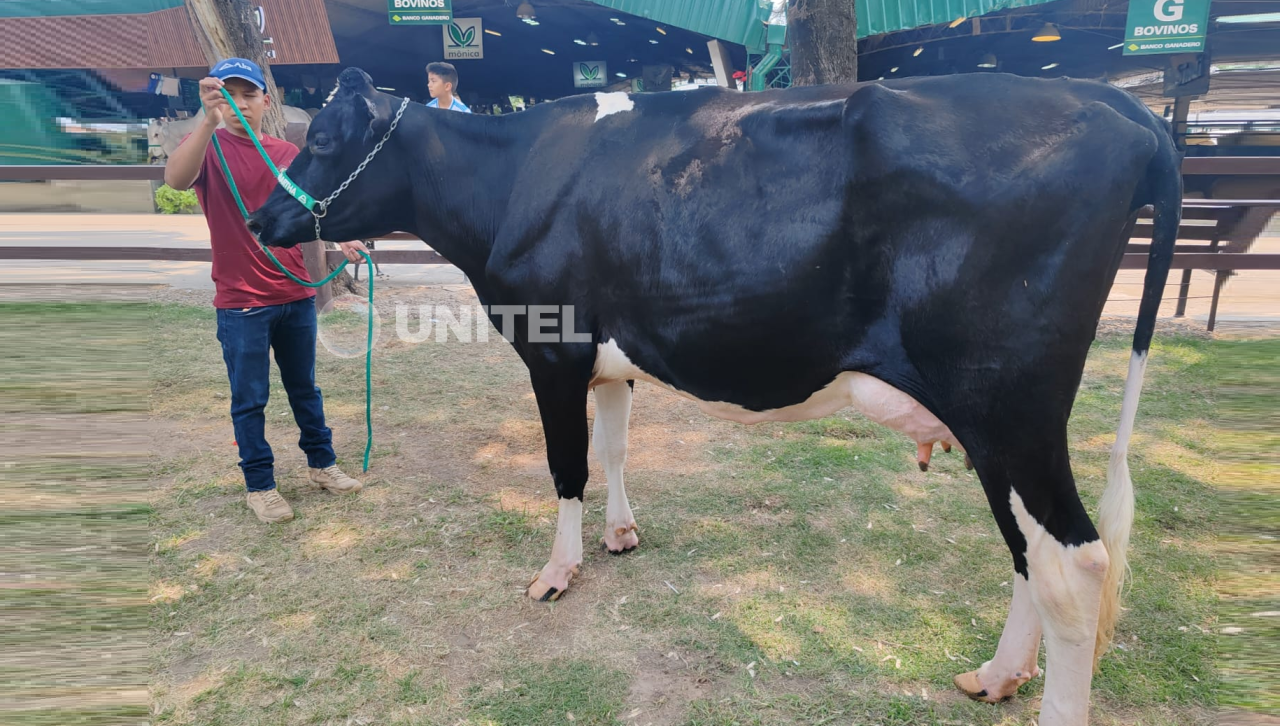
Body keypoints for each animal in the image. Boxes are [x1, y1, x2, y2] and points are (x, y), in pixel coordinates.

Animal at [254, 66, 1182, 722]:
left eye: (323, 138)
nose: (262, 220)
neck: (513, 176)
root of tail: (1117, 105)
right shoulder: (611, 361)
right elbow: (615, 446)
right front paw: (621, 535)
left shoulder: (553, 349)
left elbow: (566, 466)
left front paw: (558, 571)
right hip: (997, 425)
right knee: (1029, 549)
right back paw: (995, 675)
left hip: (1007, 404)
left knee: (1074, 563)